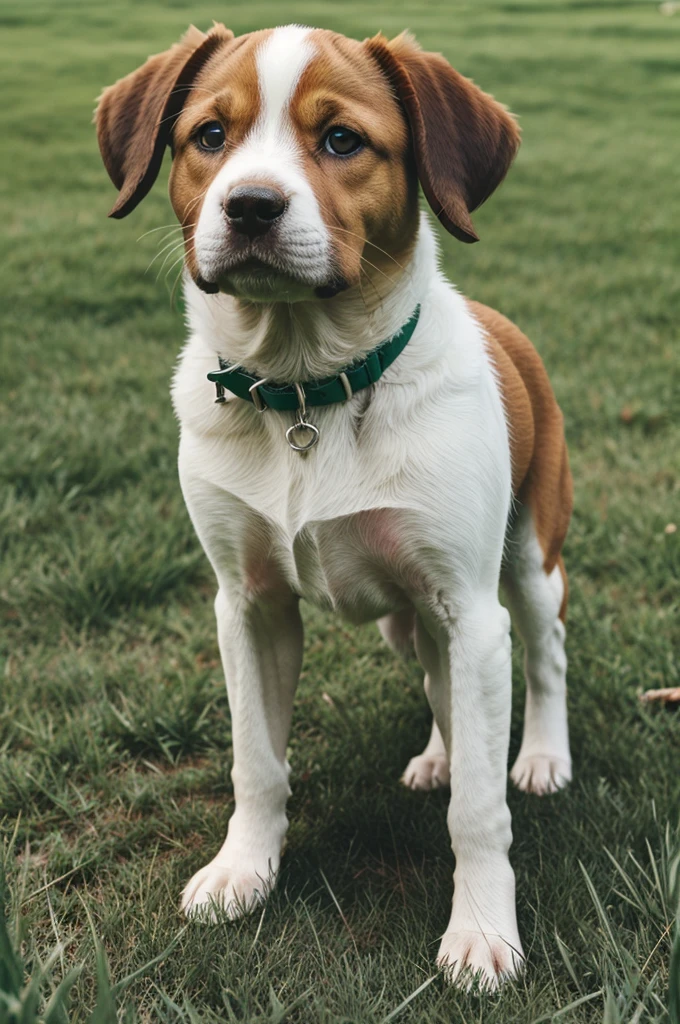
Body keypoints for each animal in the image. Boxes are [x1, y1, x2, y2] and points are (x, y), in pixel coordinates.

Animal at [95, 22, 573, 983]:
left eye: (343, 140)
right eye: (210, 135)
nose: (249, 208)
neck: (305, 391)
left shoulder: (470, 607)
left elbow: (479, 808)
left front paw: (483, 930)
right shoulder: (247, 604)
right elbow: (256, 762)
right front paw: (243, 870)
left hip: (525, 562)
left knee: (545, 653)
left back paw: (542, 754)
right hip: (414, 619)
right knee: (439, 686)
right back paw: (439, 753)